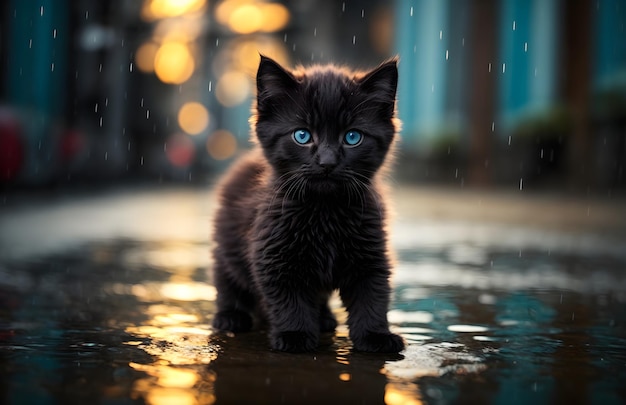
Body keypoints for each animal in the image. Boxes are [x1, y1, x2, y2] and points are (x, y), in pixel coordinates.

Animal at [212, 55, 402, 352]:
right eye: (302, 135)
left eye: (352, 137)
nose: (327, 162)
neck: (325, 211)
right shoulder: (273, 253)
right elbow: (289, 298)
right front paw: (295, 335)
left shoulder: (371, 253)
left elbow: (373, 296)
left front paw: (376, 336)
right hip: (226, 246)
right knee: (227, 279)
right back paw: (230, 316)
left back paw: (324, 319)